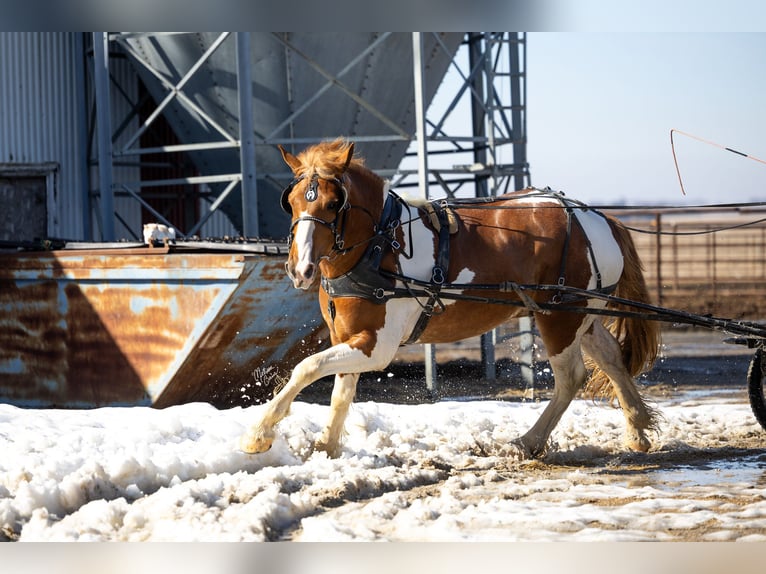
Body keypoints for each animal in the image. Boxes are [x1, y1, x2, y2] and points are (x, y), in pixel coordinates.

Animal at [240, 138, 661, 459]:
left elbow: (306, 367)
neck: (380, 245)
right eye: (293, 201)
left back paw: (528, 441)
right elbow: (341, 393)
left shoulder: (377, 346)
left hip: (559, 316)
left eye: (332, 203)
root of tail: (599, 218)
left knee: (571, 376)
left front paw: (259, 432)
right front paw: (326, 446)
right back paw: (637, 428)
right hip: (582, 314)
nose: (300, 269)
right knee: (611, 356)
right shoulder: (349, 337)